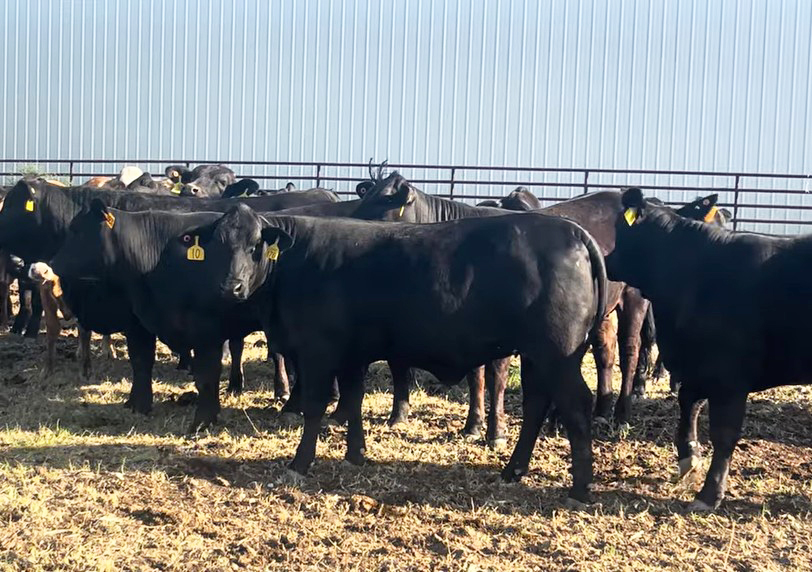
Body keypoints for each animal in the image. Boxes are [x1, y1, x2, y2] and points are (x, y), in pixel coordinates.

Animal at [604, 187, 812, 511]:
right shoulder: (697, 367)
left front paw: (709, 493)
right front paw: (688, 456)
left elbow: (724, 433)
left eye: (623, 232)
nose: (607, 260)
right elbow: (689, 401)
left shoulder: (729, 377)